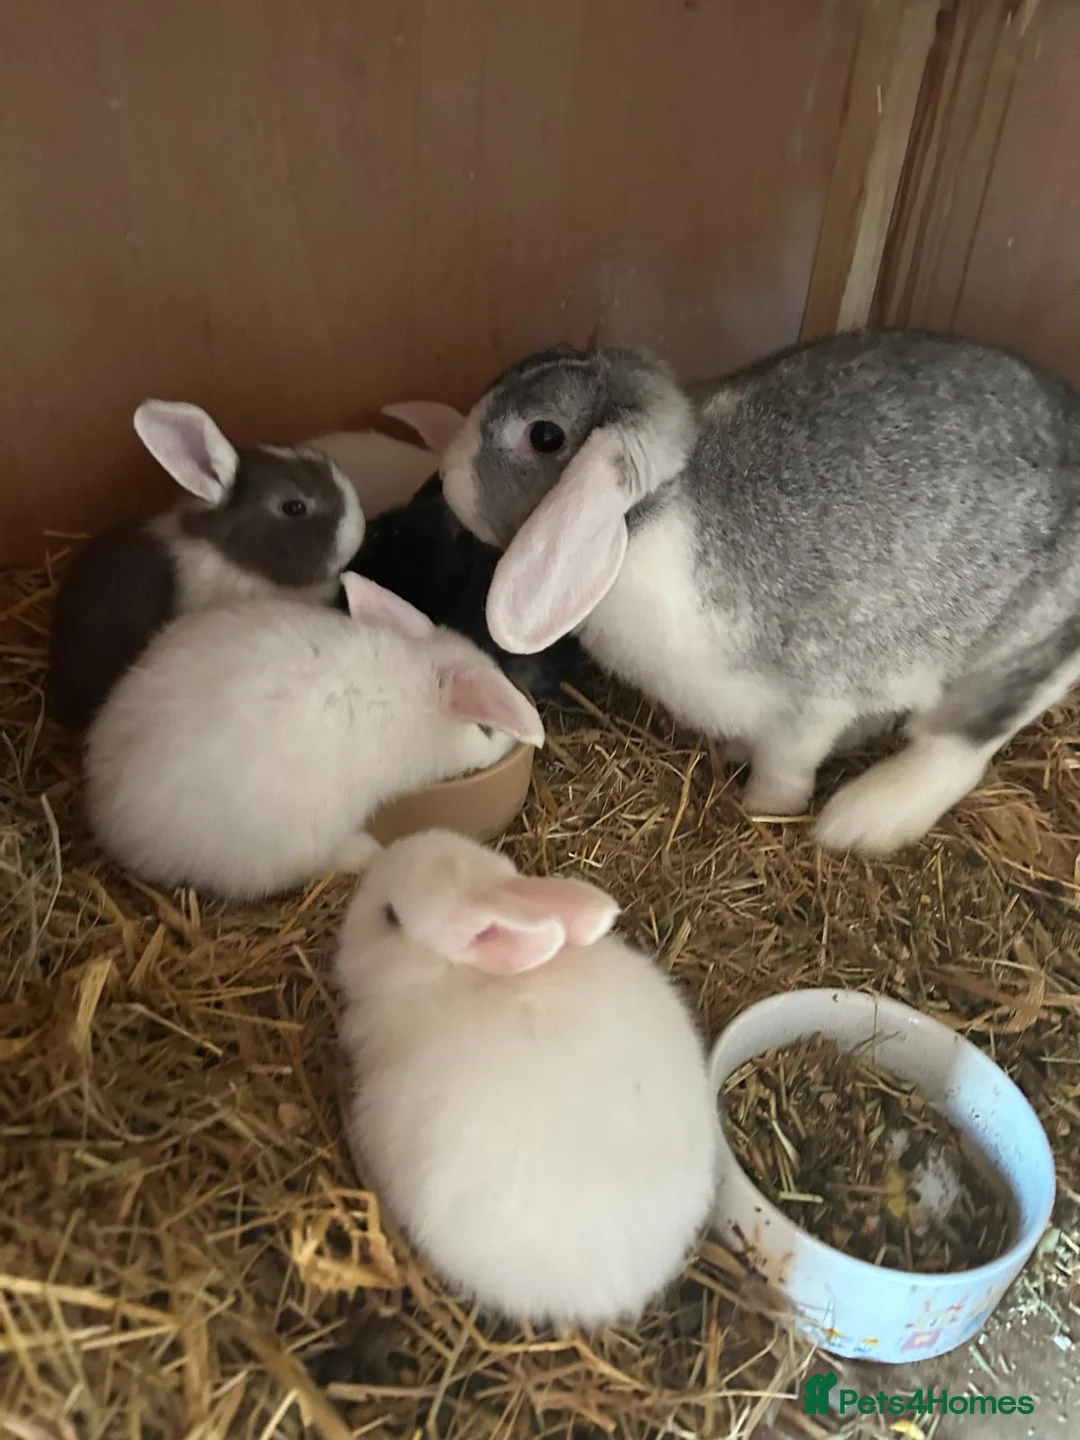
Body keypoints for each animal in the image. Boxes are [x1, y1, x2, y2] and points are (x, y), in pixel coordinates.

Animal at [439, 330, 1080, 856]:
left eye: (544, 435)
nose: (446, 474)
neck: (658, 515)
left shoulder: (809, 709)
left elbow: (786, 769)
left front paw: (763, 809)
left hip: (1009, 656)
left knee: (960, 746)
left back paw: (859, 820)